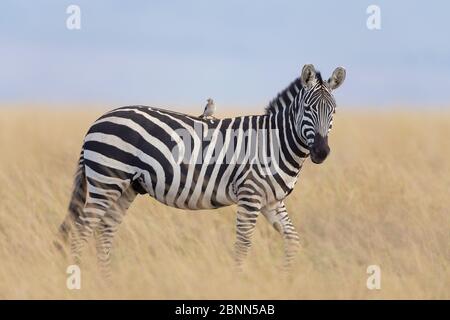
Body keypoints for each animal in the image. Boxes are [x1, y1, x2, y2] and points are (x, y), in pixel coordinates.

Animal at [56, 63, 344, 276]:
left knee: (104, 231)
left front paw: (285, 279)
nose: (321, 152)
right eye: (307, 109)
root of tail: (98, 120)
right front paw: (236, 283)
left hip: (127, 187)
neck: (273, 142)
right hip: (106, 180)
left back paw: (107, 281)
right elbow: (242, 246)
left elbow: (293, 241)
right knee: (81, 232)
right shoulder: (250, 196)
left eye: (333, 111)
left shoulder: (272, 201)